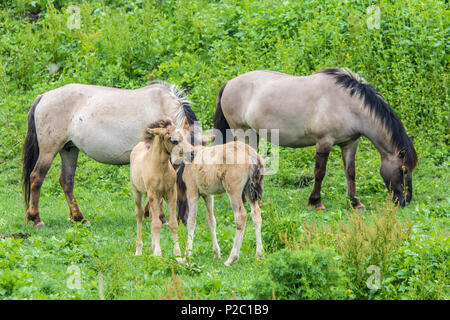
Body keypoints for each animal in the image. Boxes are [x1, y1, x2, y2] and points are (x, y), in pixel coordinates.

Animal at [21, 82, 197, 228]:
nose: (187, 221)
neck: (163, 107)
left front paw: (150, 213)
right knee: (36, 177)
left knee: (66, 181)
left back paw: (79, 219)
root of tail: (44, 96)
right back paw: (36, 219)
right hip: (49, 151)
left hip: (69, 150)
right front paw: (160, 217)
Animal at [129, 119, 180, 258]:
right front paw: (158, 253)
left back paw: (152, 246)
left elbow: (173, 223)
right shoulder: (153, 194)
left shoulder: (171, 194)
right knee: (139, 214)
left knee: (152, 216)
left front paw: (178, 254)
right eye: (172, 139)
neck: (160, 168)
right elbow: (157, 224)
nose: (192, 153)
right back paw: (139, 250)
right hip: (137, 191)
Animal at [171, 119, 266, 266]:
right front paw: (216, 254)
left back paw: (232, 258)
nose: (191, 154)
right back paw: (259, 255)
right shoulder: (207, 194)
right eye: (175, 141)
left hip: (234, 190)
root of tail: (252, 155)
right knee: (256, 214)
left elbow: (192, 220)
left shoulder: (192, 190)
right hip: (250, 191)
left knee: (241, 216)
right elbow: (211, 220)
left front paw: (187, 255)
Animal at [214, 69, 418, 210]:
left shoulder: (350, 143)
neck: (347, 103)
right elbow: (320, 173)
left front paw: (355, 202)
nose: (405, 201)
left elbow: (350, 172)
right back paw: (243, 201)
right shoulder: (324, 142)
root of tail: (229, 83)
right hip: (243, 132)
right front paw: (316, 202)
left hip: (254, 135)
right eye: (402, 170)